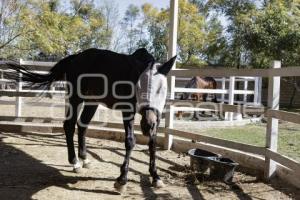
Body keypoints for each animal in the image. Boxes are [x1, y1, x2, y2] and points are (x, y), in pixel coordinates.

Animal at [1, 48, 176, 192]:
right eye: (138, 87)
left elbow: (152, 143)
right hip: (76, 98)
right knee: (70, 125)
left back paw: (84, 159)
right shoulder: (128, 111)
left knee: (82, 125)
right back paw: (75, 162)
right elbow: (130, 141)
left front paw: (156, 177)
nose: (147, 126)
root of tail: (75, 57)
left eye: (162, 89)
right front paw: (121, 180)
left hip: (92, 101)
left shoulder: (155, 117)